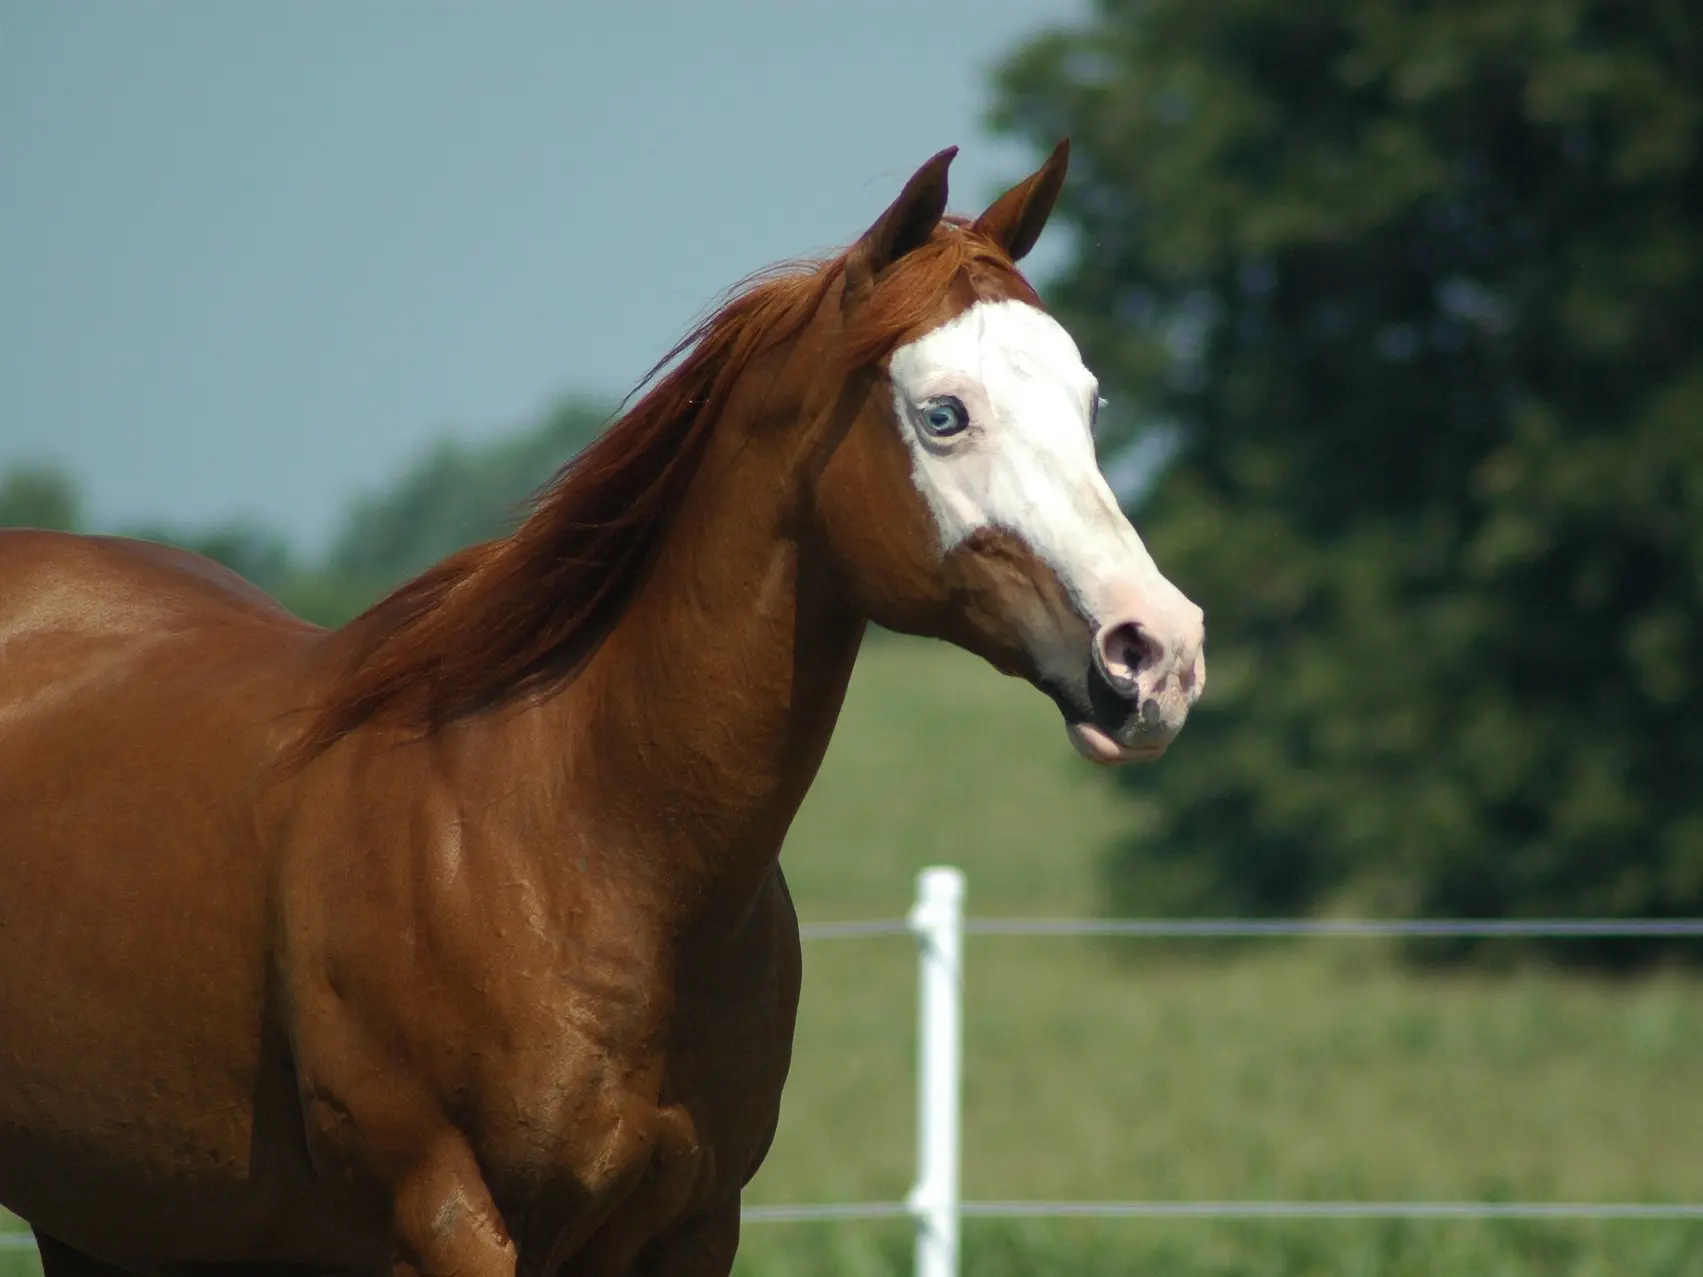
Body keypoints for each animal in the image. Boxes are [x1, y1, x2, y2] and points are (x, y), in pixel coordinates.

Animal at [0, 144, 1205, 1277]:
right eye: (942, 413)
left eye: (1089, 402)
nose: (1158, 652)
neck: (582, 842)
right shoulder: (447, 1222)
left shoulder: (692, 1226)